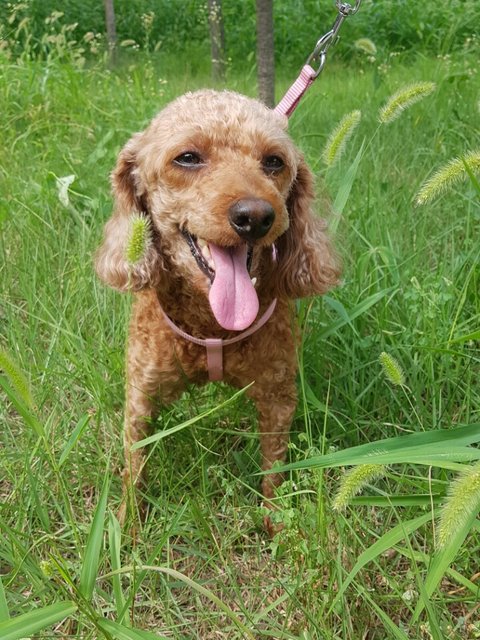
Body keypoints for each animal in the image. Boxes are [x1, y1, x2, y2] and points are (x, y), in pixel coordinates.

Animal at [95, 90, 339, 533]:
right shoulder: (141, 395)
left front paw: (277, 525)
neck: (214, 325)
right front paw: (127, 528)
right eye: (188, 158)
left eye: (274, 161)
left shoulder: (277, 396)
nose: (255, 216)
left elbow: (274, 470)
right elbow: (134, 465)